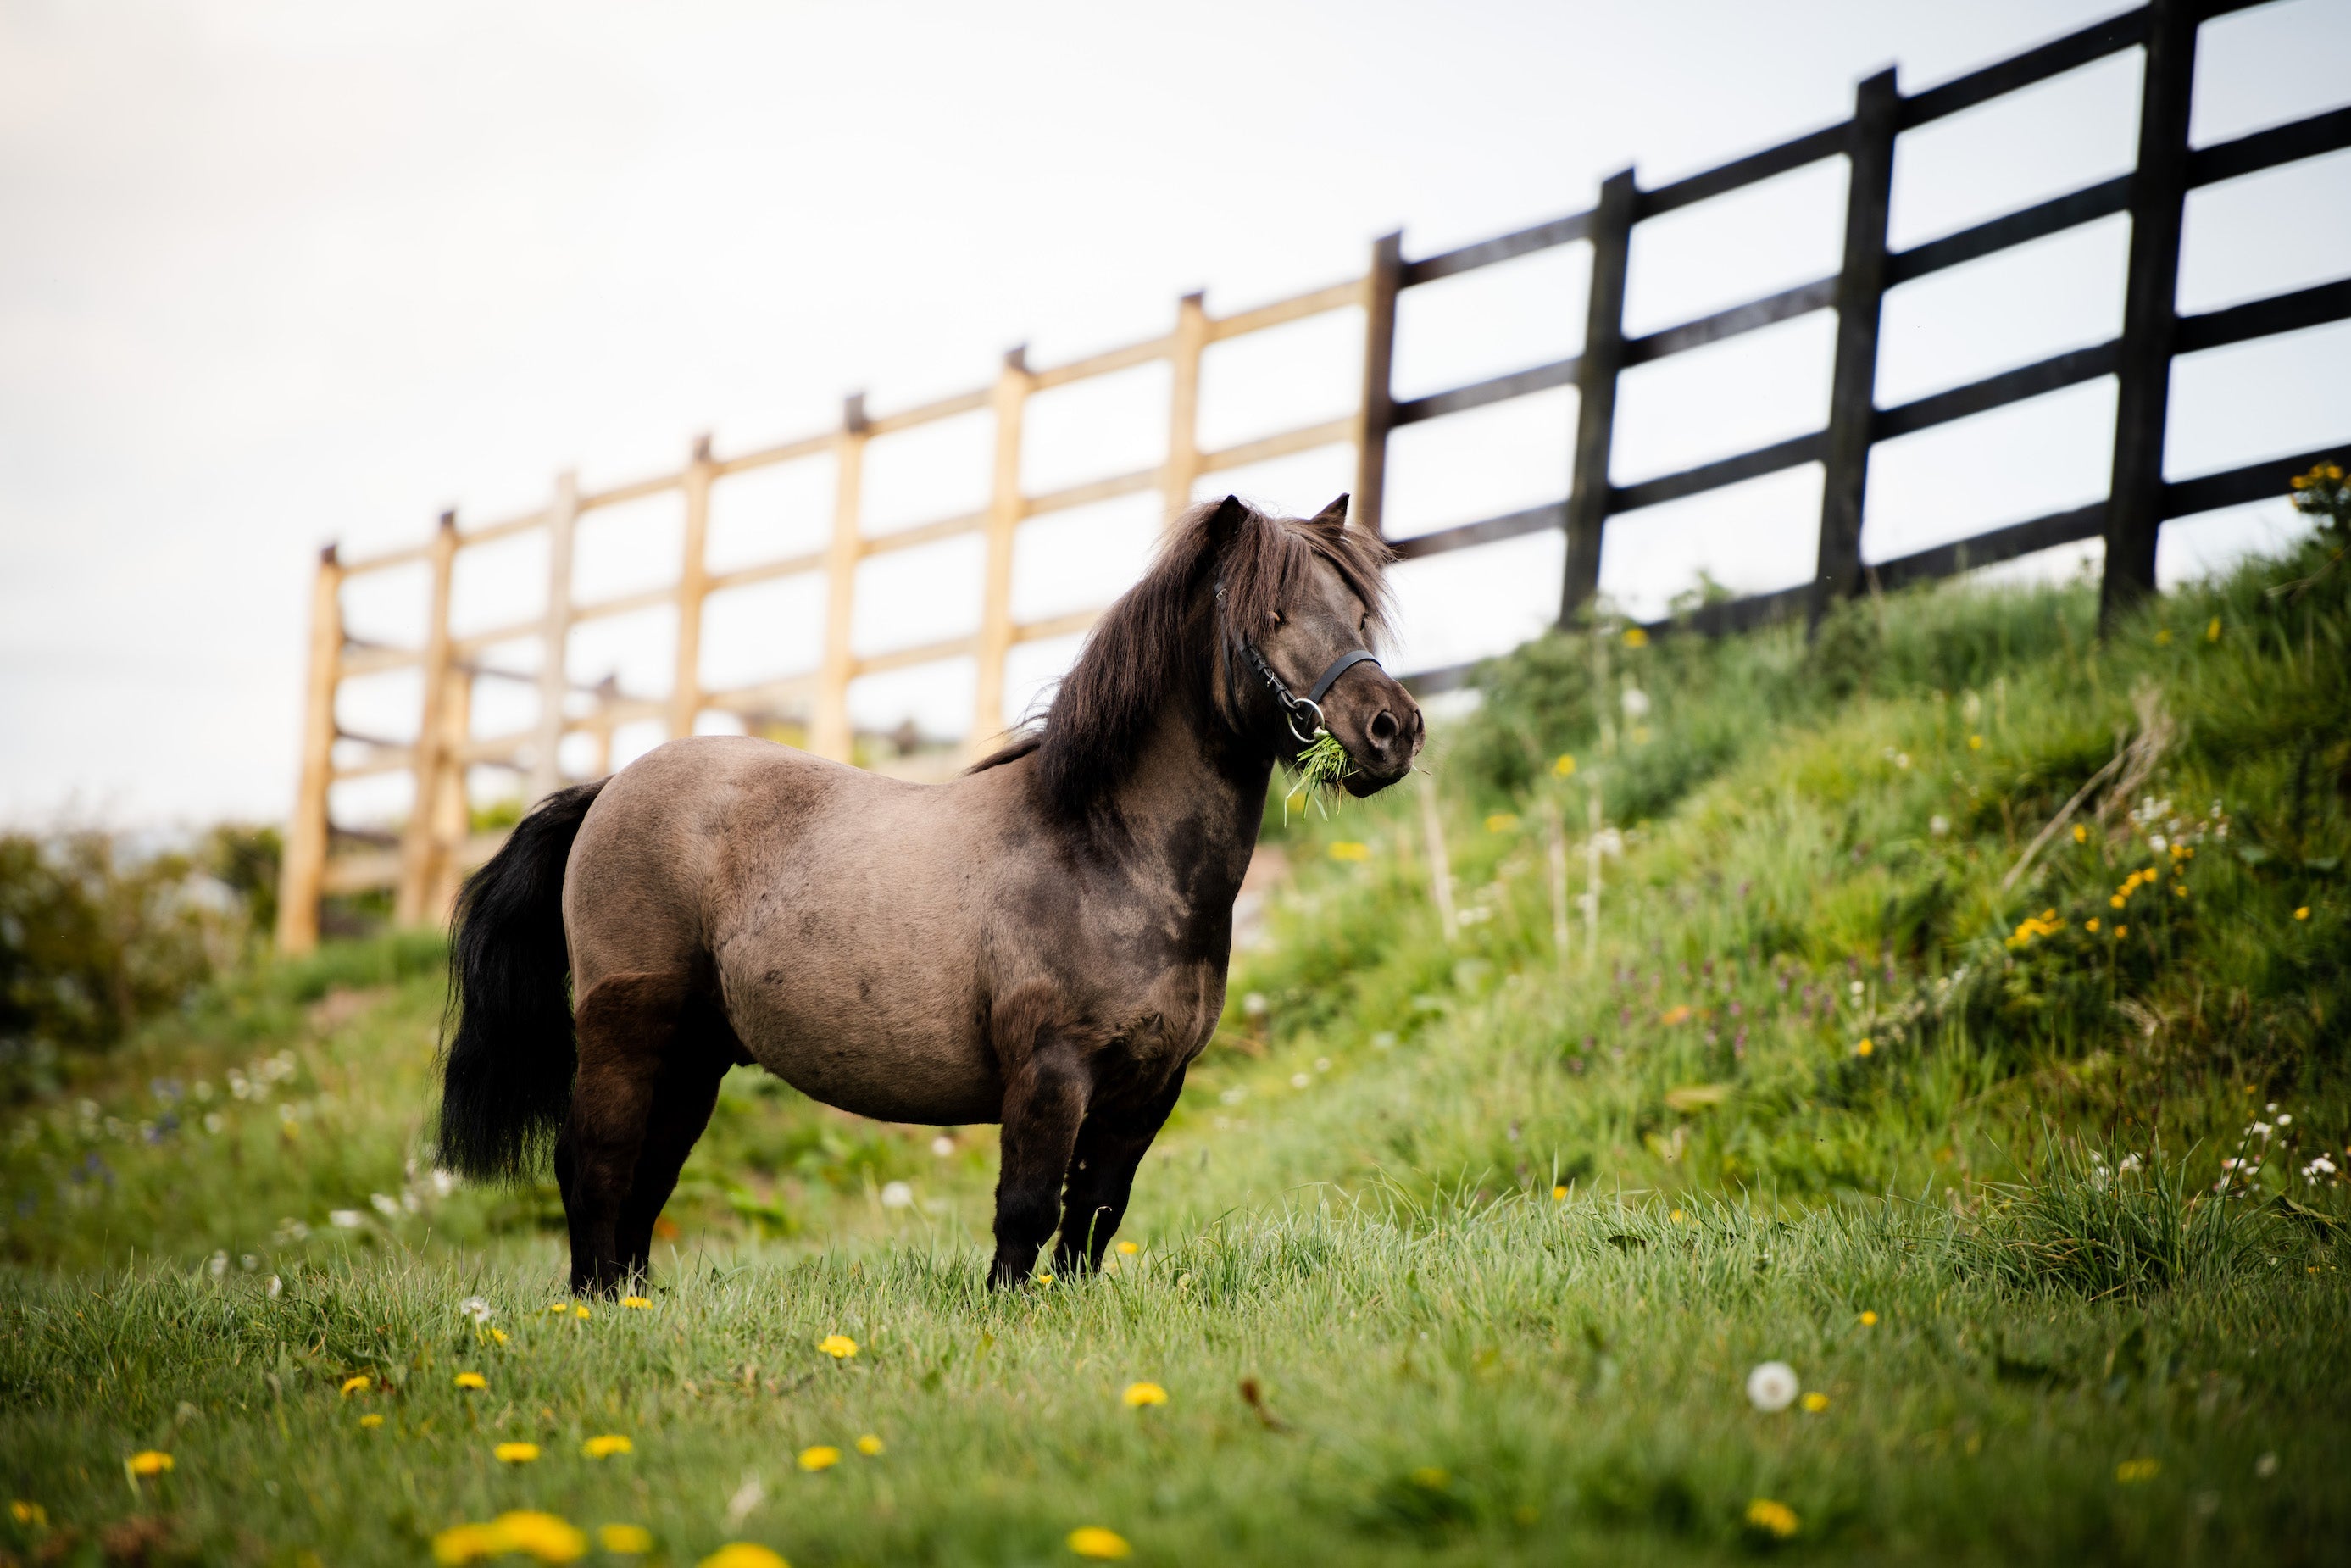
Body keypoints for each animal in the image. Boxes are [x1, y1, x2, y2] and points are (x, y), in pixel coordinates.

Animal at [435, 493, 1425, 1293]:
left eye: (1357, 609)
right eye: (1272, 612)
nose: (1392, 729)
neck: (1107, 856)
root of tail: (609, 786)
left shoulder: (1148, 1089)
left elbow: (1093, 1218)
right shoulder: (1050, 1072)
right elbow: (1025, 1210)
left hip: (693, 1052)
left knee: (648, 1172)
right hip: (626, 1030)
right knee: (594, 1162)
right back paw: (594, 1303)